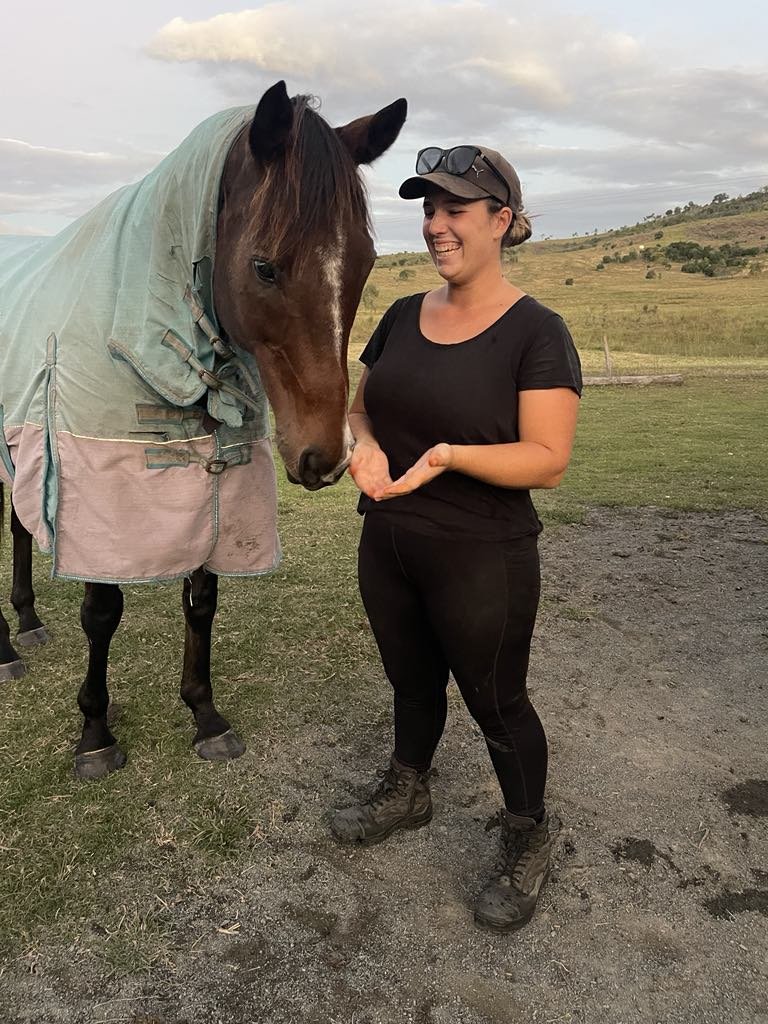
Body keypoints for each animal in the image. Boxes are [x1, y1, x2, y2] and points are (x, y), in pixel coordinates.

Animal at [0, 80, 407, 779]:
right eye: (265, 267)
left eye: (364, 263)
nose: (326, 455)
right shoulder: (100, 493)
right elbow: (102, 612)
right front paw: (95, 732)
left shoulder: (216, 486)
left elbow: (202, 597)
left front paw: (205, 714)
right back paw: (7, 649)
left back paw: (26, 619)